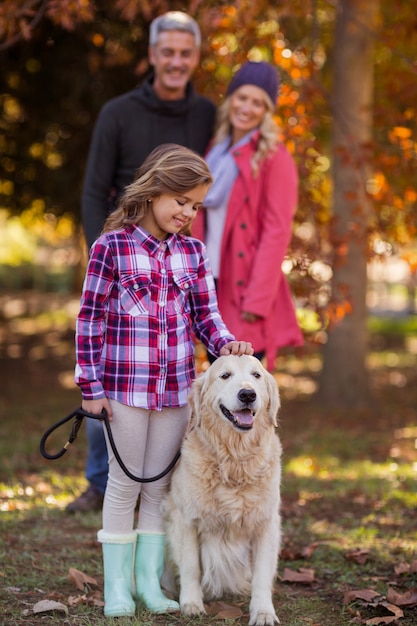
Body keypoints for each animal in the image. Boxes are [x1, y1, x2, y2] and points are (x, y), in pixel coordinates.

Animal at [162, 354, 282, 620]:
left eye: (256, 375)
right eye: (225, 376)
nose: (247, 394)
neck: (234, 460)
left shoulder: (266, 523)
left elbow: (262, 573)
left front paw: (263, 611)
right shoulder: (185, 519)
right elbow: (191, 567)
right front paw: (191, 603)